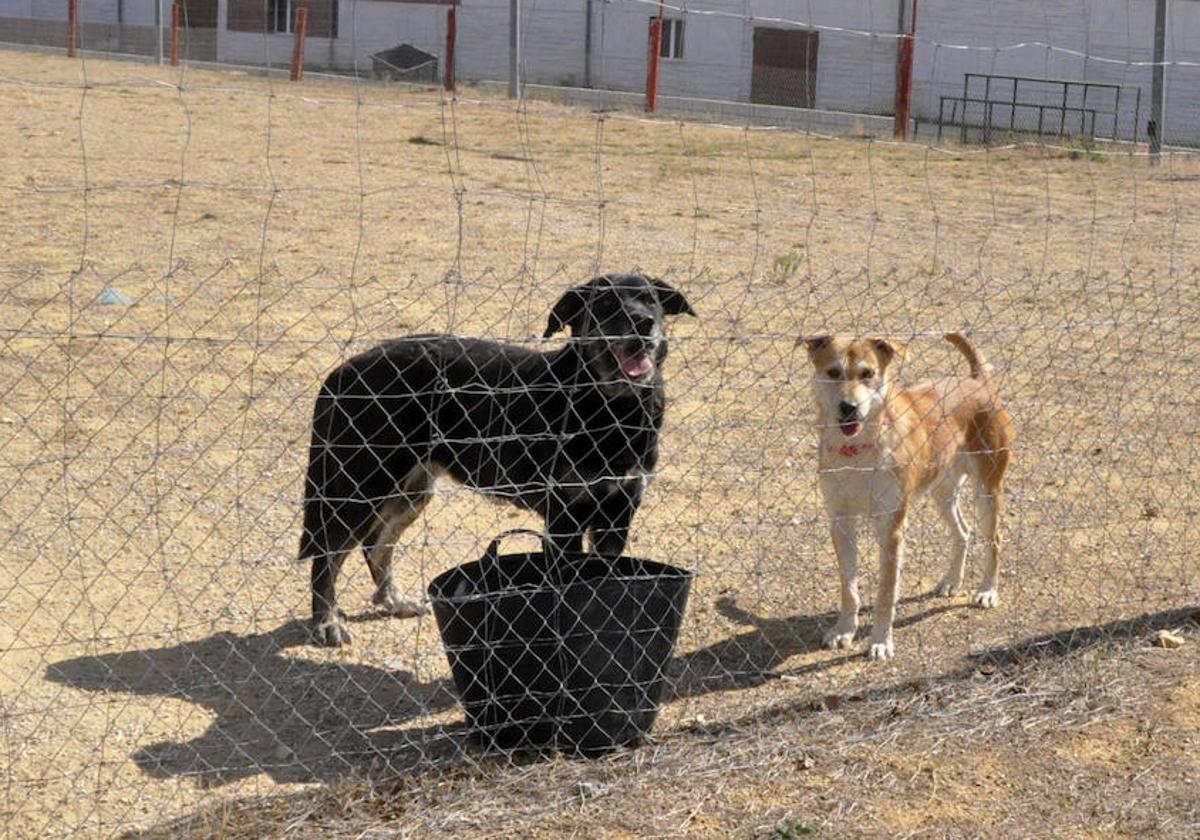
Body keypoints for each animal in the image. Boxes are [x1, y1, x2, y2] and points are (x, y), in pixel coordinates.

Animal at [297, 272, 696, 648]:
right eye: (606, 304)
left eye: (651, 300)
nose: (642, 321)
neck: (611, 409)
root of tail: (343, 370)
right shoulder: (564, 518)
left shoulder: (618, 513)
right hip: (361, 486)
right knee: (327, 556)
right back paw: (326, 622)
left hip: (412, 490)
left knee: (376, 544)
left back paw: (393, 600)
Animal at [796, 331, 1012, 657]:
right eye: (833, 372)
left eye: (868, 373)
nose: (849, 407)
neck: (859, 451)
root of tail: (977, 380)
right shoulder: (841, 522)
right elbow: (849, 589)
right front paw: (844, 630)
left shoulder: (891, 528)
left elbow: (886, 593)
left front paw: (880, 642)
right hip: (942, 493)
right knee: (963, 532)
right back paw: (952, 581)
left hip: (988, 491)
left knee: (994, 540)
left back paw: (987, 591)